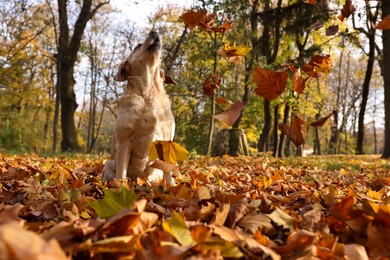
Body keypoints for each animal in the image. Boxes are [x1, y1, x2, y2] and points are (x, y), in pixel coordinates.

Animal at [103, 31, 177, 183]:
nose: (154, 31)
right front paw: (121, 186)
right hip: (107, 168)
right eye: (138, 46)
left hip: (155, 172)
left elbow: (169, 172)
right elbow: (121, 173)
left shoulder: (167, 140)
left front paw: (173, 187)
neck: (148, 94)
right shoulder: (124, 142)